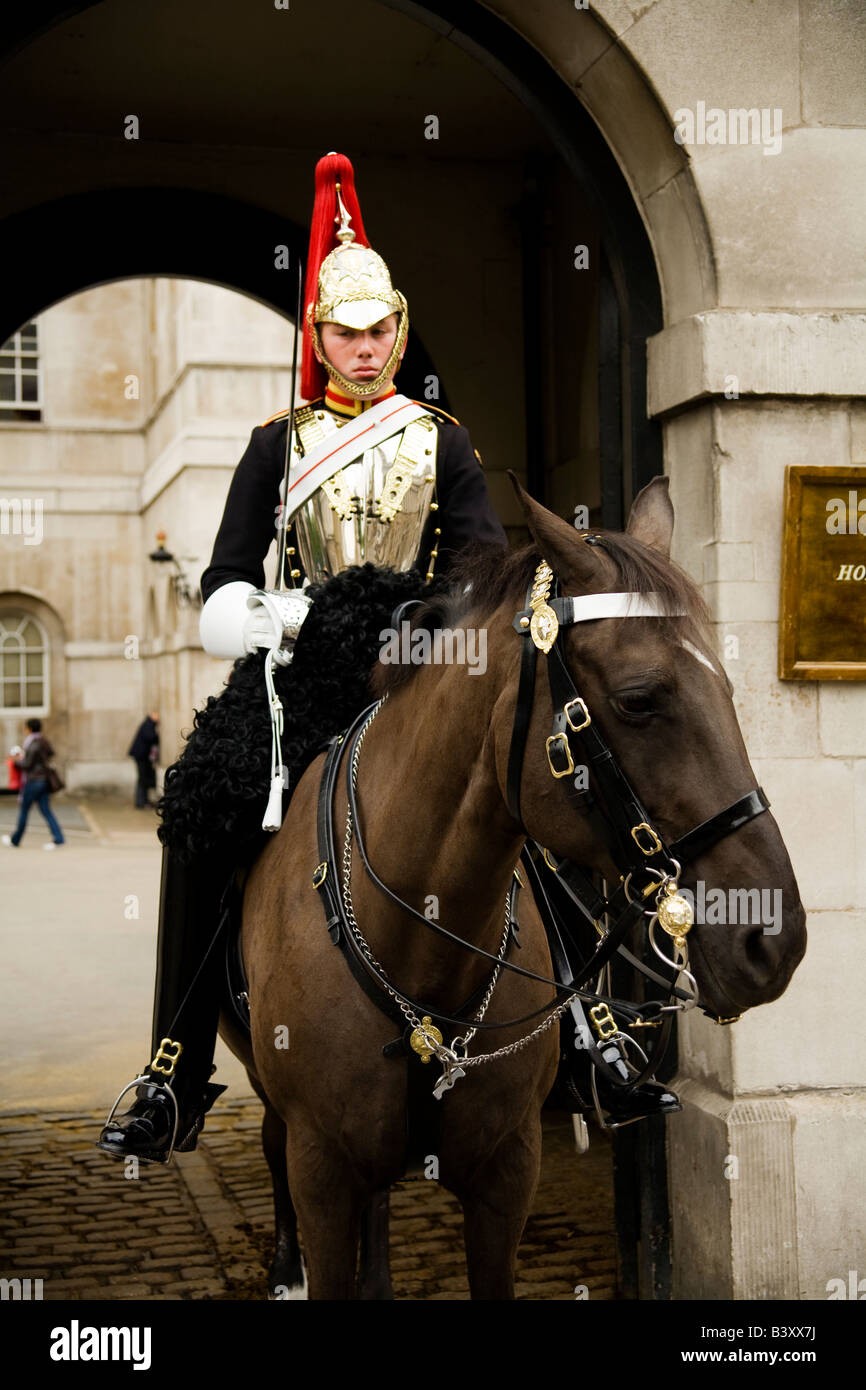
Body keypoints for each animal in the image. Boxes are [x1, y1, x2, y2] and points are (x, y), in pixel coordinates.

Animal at [218, 475, 807, 1300]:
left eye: (727, 684)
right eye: (638, 698)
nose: (773, 938)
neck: (420, 947)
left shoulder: (506, 1174)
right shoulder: (321, 1171)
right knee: (274, 1144)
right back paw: (282, 1269)